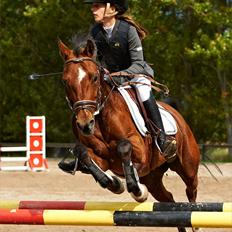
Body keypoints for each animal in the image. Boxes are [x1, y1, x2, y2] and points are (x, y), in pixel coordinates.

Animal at [57, 35, 200, 232]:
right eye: (65, 81)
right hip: (153, 178)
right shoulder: (102, 159)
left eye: (94, 77)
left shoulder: (140, 150)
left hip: (187, 166)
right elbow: (84, 153)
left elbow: (124, 148)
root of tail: (176, 113)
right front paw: (114, 183)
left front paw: (136, 189)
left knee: (191, 192)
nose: (85, 124)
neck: (101, 118)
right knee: (169, 201)